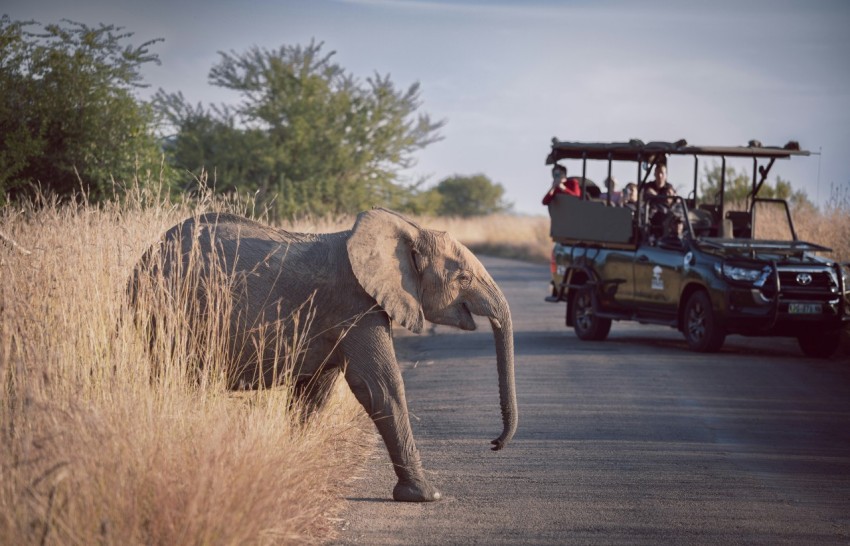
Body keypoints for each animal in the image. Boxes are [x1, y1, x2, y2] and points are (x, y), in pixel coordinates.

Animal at [132, 207, 516, 502]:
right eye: (463, 277)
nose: (494, 444)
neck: (405, 229)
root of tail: (143, 259)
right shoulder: (355, 303)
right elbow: (379, 385)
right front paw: (424, 496)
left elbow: (315, 391)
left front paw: (292, 464)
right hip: (169, 311)